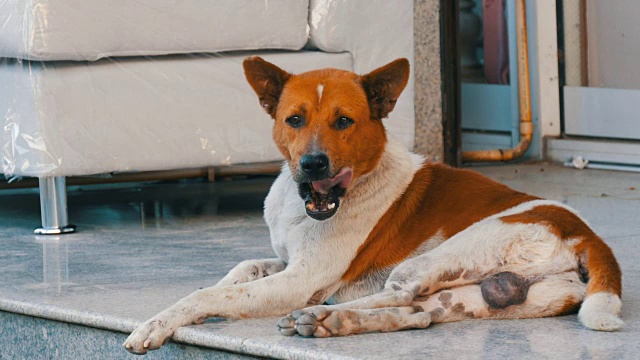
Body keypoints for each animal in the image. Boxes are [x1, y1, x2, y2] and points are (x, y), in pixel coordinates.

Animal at [124, 57, 620, 352]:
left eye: (345, 121)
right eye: (294, 120)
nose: (313, 164)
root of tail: (587, 235)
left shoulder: (301, 280)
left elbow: (212, 294)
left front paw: (156, 322)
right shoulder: (288, 263)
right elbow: (240, 271)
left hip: (443, 256)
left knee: (398, 293)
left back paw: (319, 314)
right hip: (479, 296)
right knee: (418, 315)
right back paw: (334, 323)